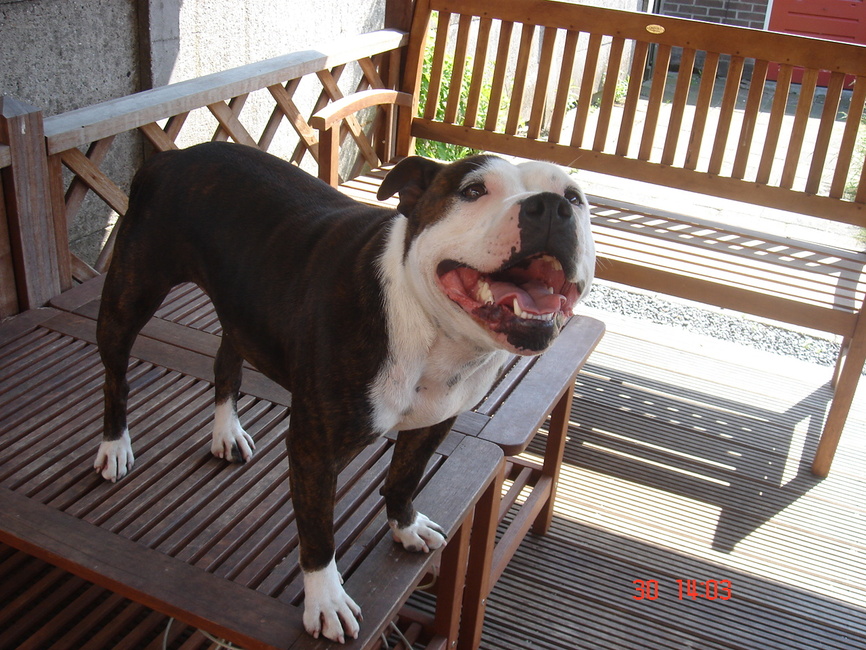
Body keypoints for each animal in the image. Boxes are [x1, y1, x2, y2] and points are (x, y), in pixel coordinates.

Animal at [94, 141, 595, 643]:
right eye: (473, 190)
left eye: (574, 198)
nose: (549, 207)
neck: (431, 332)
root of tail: (173, 156)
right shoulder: (315, 450)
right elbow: (318, 534)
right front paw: (326, 600)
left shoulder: (435, 421)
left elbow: (404, 477)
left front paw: (405, 526)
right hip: (128, 298)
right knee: (116, 378)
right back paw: (115, 445)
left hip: (240, 310)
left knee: (226, 361)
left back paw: (226, 431)